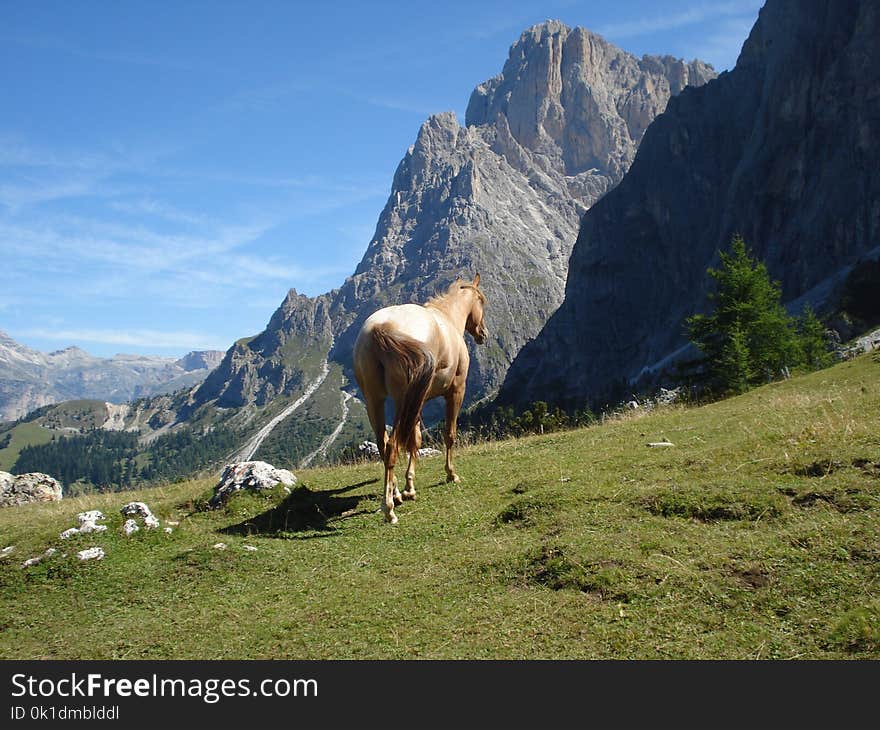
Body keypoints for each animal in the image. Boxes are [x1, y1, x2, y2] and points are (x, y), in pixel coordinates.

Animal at [352, 272, 488, 524]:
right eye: (481, 302)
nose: (483, 333)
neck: (447, 319)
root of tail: (380, 328)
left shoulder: (418, 401)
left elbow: (414, 440)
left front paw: (408, 487)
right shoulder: (456, 391)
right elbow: (449, 434)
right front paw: (451, 474)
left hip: (375, 401)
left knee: (384, 445)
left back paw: (394, 494)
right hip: (401, 400)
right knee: (393, 445)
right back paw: (389, 509)